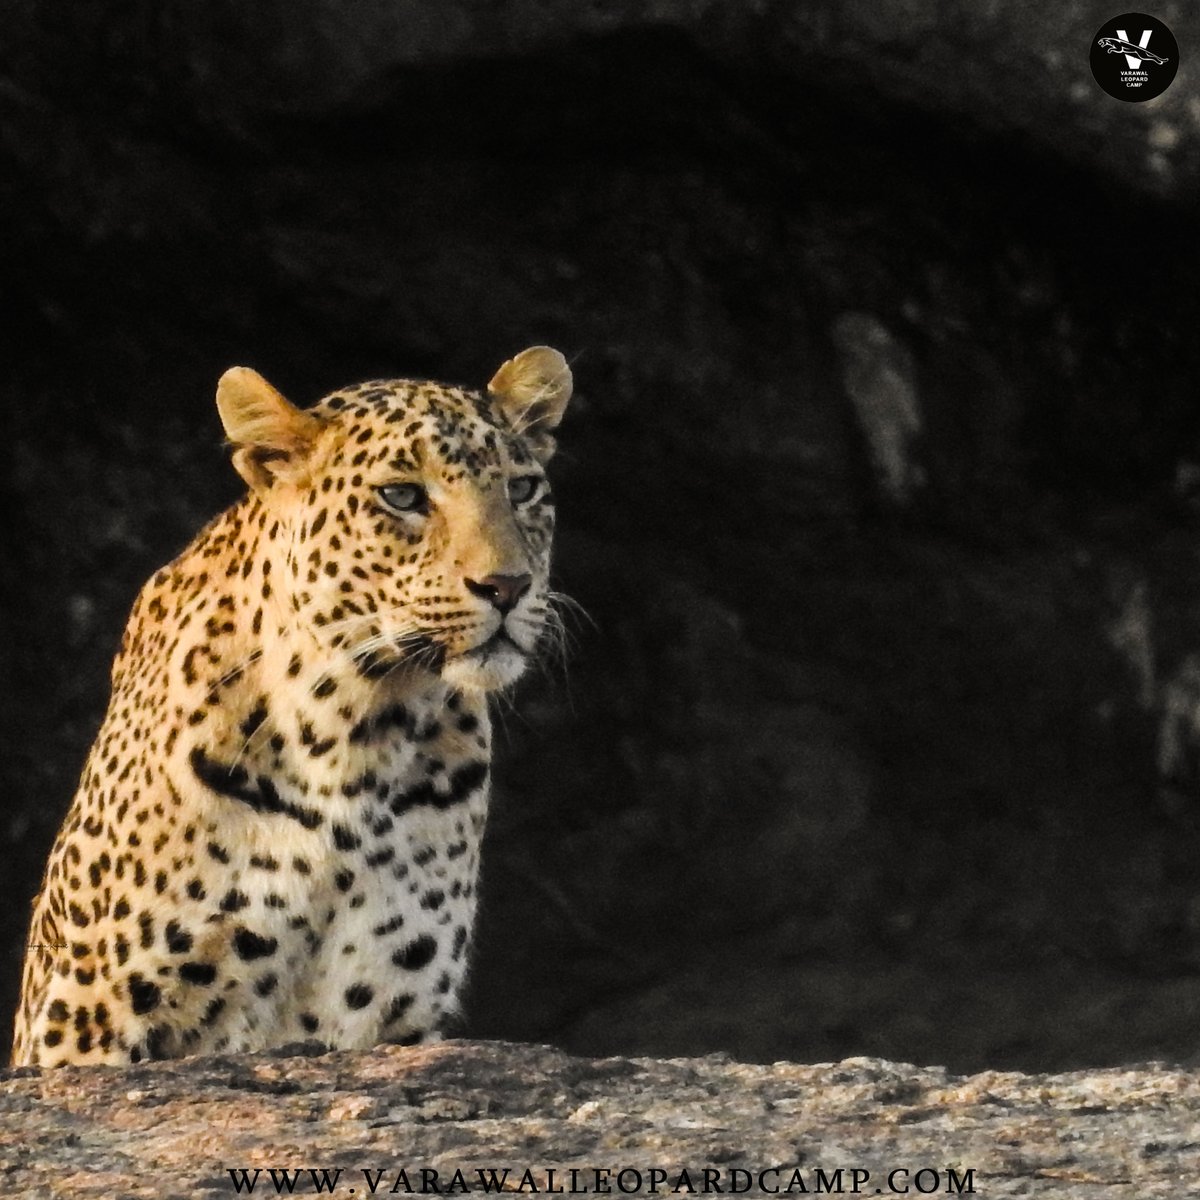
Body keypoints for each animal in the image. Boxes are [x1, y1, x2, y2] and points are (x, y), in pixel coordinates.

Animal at [10, 346, 573, 1067]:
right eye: (402, 496)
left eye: (522, 489)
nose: (507, 586)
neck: (358, 729)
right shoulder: (90, 1010)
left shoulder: (388, 1008)